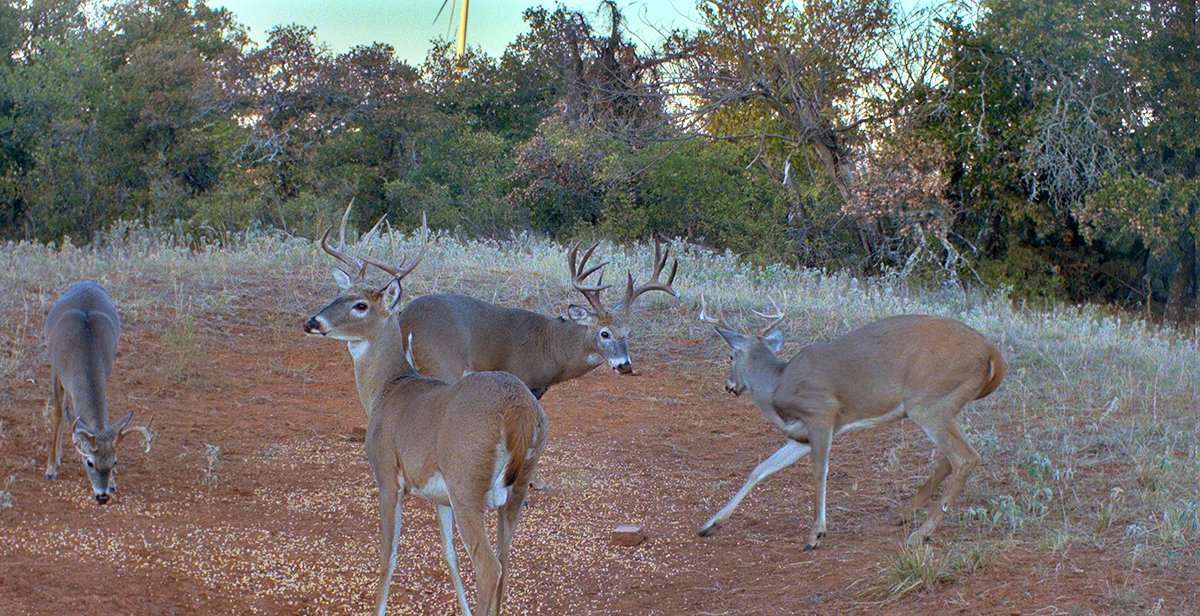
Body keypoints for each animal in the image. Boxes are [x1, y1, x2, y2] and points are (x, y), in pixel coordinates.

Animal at [43, 280, 152, 501]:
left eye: (114, 461)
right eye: (89, 462)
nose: (102, 496)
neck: (85, 349)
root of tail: (87, 282)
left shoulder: (106, 370)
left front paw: (113, 483)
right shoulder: (56, 371)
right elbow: (58, 415)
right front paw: (51, 468)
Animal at [691, 297, 1008, 547]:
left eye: (730, 356)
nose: (729, 385)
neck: (777, 385)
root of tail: (993, 353)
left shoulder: (822, 414)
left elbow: (819, 472)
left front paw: (816, 534)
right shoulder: (800, 435)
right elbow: (761, 469)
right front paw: (710, 524)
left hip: (928, 402)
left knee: (966, 457)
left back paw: (922, 533)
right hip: (950, 404)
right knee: (950, 457)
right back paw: (903, 514)